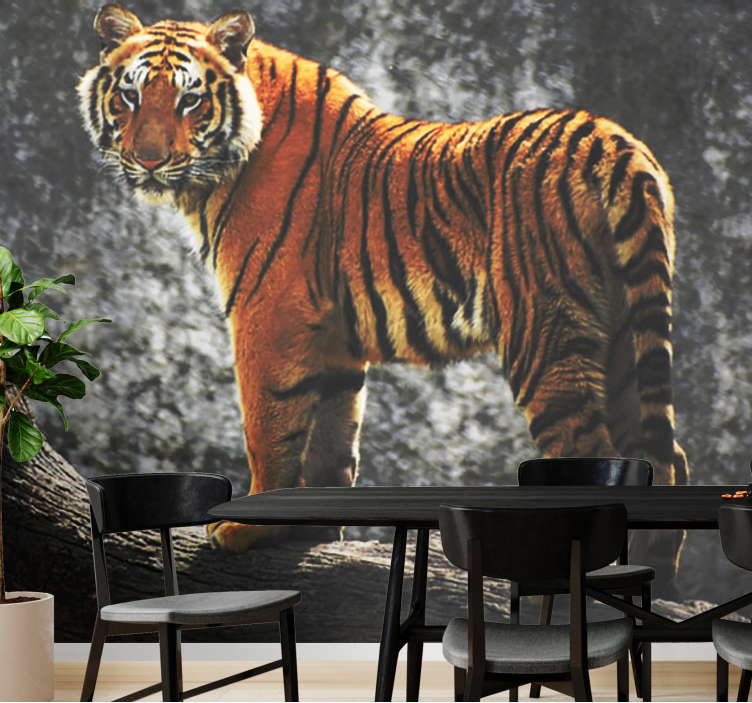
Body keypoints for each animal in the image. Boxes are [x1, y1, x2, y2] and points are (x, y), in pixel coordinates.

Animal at [78, 4, 689, 587]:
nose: (149, 160)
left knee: (593, 453)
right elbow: (331, 438)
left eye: (190, 100)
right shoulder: (333, 339)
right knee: (665, 459)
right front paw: (314, 534)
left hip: (546, 334)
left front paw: (248, 528)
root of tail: (611, 139)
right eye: (131, 95)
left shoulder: (268, 313)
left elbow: (270, 425)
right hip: (623, 335)